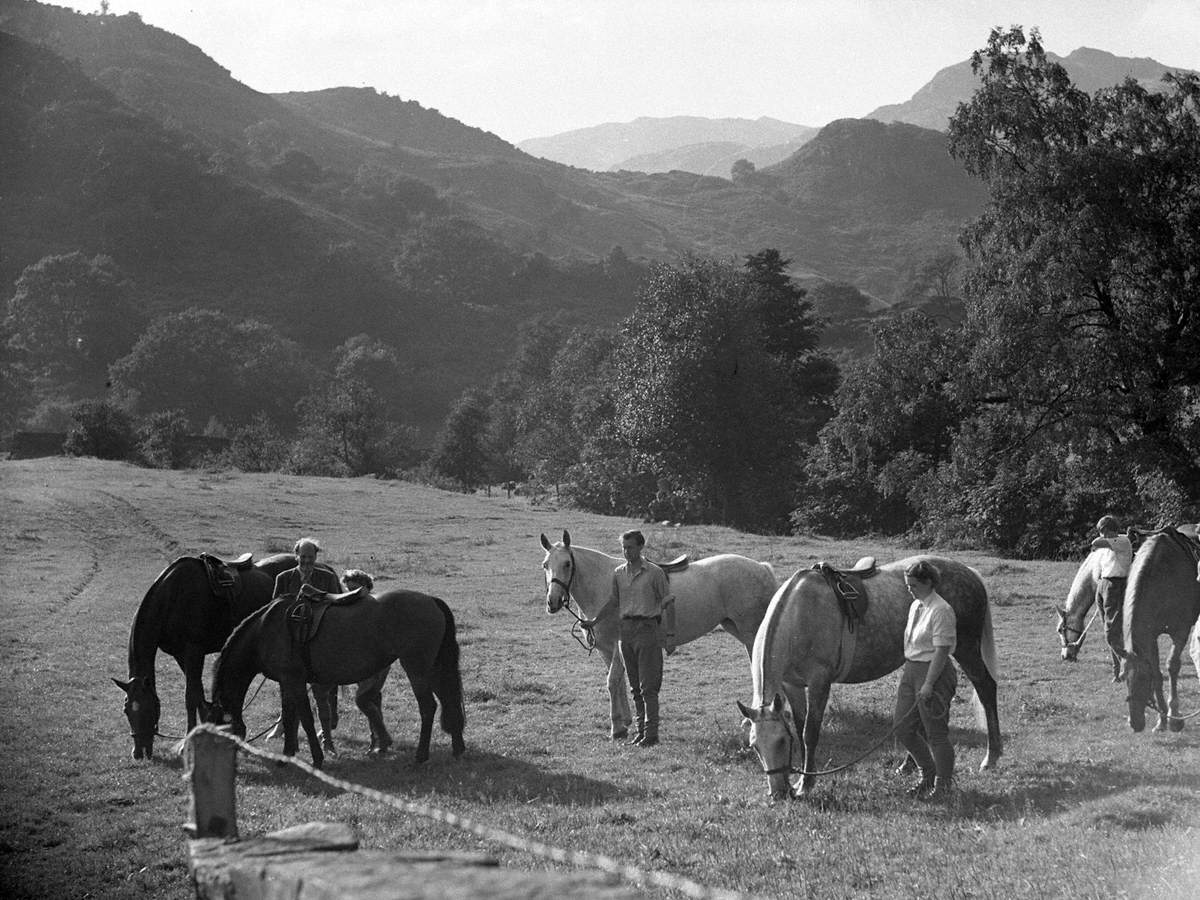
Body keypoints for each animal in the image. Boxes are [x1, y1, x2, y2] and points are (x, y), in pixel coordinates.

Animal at [201, 588, 463, 772]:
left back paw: (421, 756)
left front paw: (317, 759)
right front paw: (286, 756)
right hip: (433, 668)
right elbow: (289, 718)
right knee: (449, 700)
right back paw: (457, 748)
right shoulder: (286, 683)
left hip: (416, 669)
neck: (265, 631)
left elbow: (305, 720)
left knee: (428, 707)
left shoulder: (294, 681)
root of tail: (431, 600)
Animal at [537, 528, 777, 739]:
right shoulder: (606, 649)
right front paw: (625, 720)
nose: (552, 602)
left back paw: (751, 719)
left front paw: (617, 728)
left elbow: (612, 681)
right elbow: (619, 682)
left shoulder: (617, 646)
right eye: (545, 565)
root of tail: (762, 568)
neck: (605, 585)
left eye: (567, 564)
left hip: (750, 634)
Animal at [734, 556, 998, 801]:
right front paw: (800, 779)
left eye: (780, 741)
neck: (800, 616)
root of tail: (969, 573)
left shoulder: (820, 682)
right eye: (754, 746)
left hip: (966, 649)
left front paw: (806, 785)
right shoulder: (792, 685)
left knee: (986, 688)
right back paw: (908, 765)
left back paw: (991, 757)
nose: (778, 792)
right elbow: (800, 729)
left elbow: (810, 733)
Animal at [1118, 528, 1195, 734]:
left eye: (1144, 680)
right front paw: (1162, 720)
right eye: (1123, 678)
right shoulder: (1150, 637)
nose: (1135, 723)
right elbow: (1159, 674)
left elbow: (1172, 666)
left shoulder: (1180, 631)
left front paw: (1175, 718)